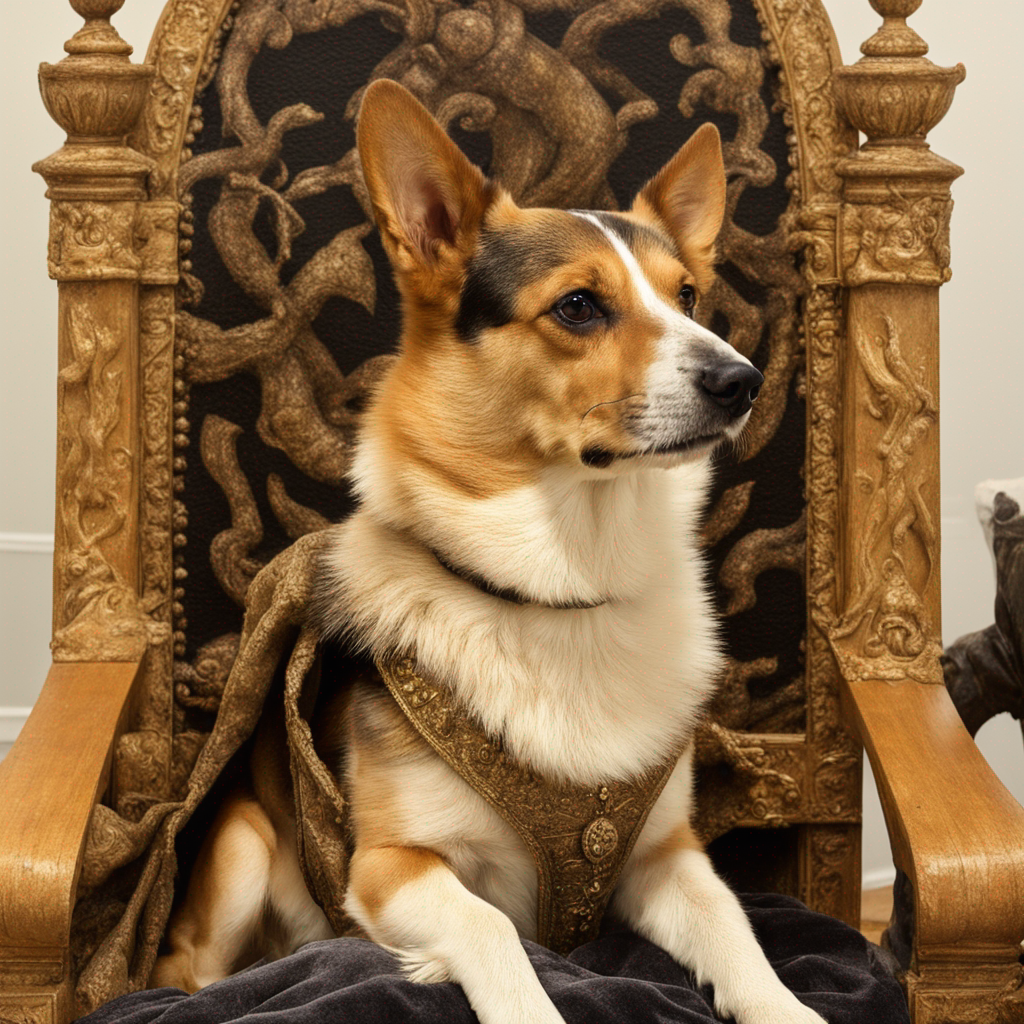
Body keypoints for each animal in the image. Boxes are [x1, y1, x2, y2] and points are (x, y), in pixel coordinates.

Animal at [149, 79, 823, 1024]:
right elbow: (492, 927)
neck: (563, 588)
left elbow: (739, 937)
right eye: (578, 305)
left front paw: (788, 1007)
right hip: (242, 847)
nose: (743, 382)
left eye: (688, 296)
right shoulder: (388, 866)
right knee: (191, 967)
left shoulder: (667, 855)